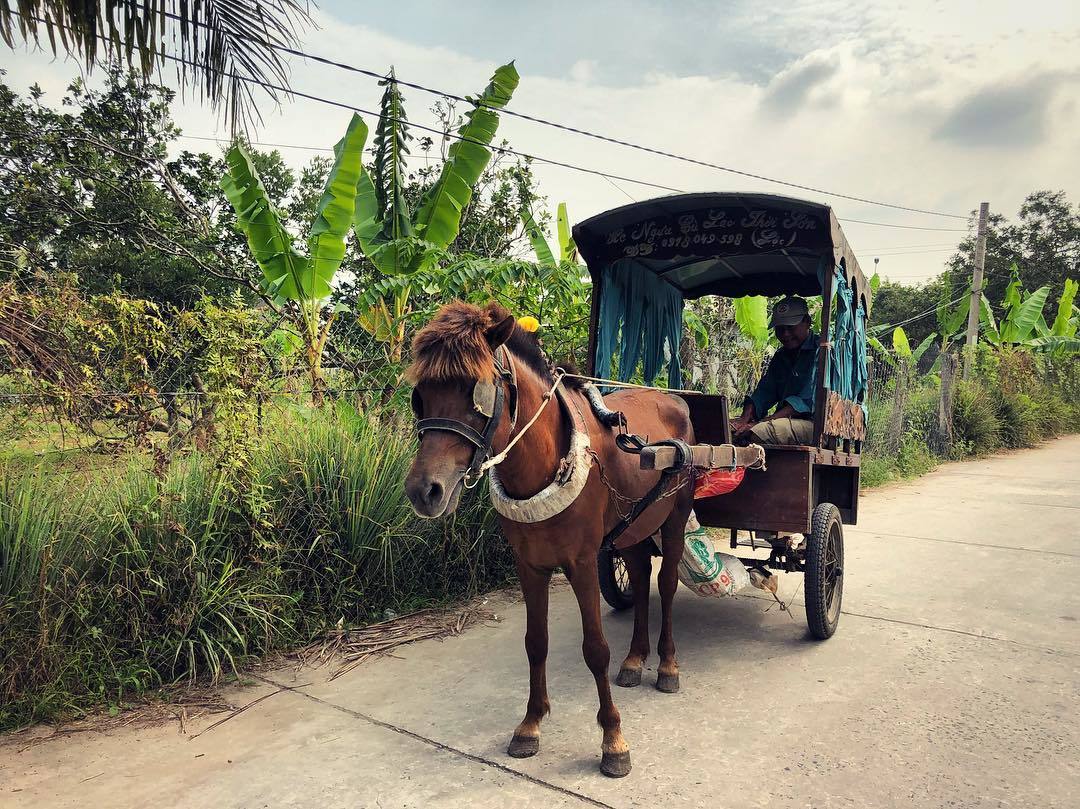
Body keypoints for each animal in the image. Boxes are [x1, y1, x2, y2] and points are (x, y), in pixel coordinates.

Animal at [403, 302, 691, 777]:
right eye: (420, 396)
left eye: (475, 392)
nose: (424, 490)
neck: (544, 461)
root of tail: (674, 398)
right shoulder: (529, 564)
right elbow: (535, 643)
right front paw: (530, 724)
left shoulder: (581, 562)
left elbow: (595, 649)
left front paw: (613, 739)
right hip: (634, 524)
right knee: (639, 573)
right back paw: (636, 659)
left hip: (676, 516)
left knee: (665, 585)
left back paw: (667, 665)